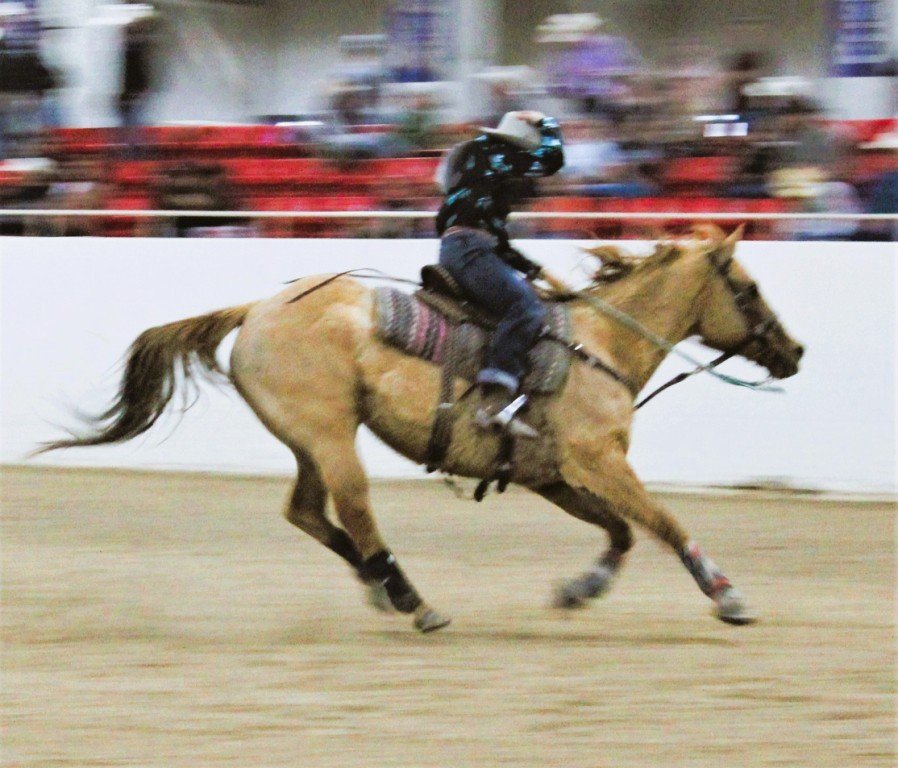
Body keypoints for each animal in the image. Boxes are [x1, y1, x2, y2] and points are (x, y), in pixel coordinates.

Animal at [37, 226, 803, 633]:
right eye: (749, 288)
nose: (793, 352)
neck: (600, 345)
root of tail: (256, 307)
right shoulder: (599, 463)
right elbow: (666, 524)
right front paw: (729, 597)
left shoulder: (555, 476)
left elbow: (620, 532)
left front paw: (578, 590)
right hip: (329, 434)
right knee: (353, 507)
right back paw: (412, 598)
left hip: (309, 440)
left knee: (306, 510)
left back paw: (381, 584)